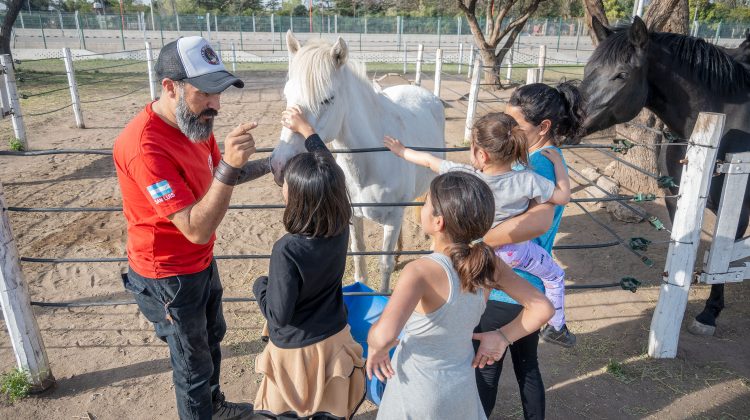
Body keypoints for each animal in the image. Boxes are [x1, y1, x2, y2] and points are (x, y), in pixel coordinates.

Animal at [272, 31, 444, 290]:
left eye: (327, 99)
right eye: (286, 94)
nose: (279, 165)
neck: (371, 164)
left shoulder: (392, 219)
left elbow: (384, 265)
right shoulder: (353, 217)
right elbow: (358, 259)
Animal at [580, 16, 750, 336]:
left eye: (621, 75)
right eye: (587, 69)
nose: (569, 117)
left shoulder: (739, 209)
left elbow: (722, 258)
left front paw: (708, 314)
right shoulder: (676, 196)